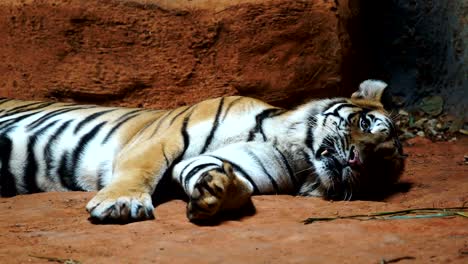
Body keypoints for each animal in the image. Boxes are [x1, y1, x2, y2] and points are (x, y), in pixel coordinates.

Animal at [0, 80, 404, 223]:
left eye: (382, 167)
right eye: (365, 124)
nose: (357, 160)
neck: (296, 151)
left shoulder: (246, 164)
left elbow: (227, 176)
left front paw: (216, 192)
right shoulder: (161, 138)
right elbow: (141, 171)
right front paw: (121, 203)